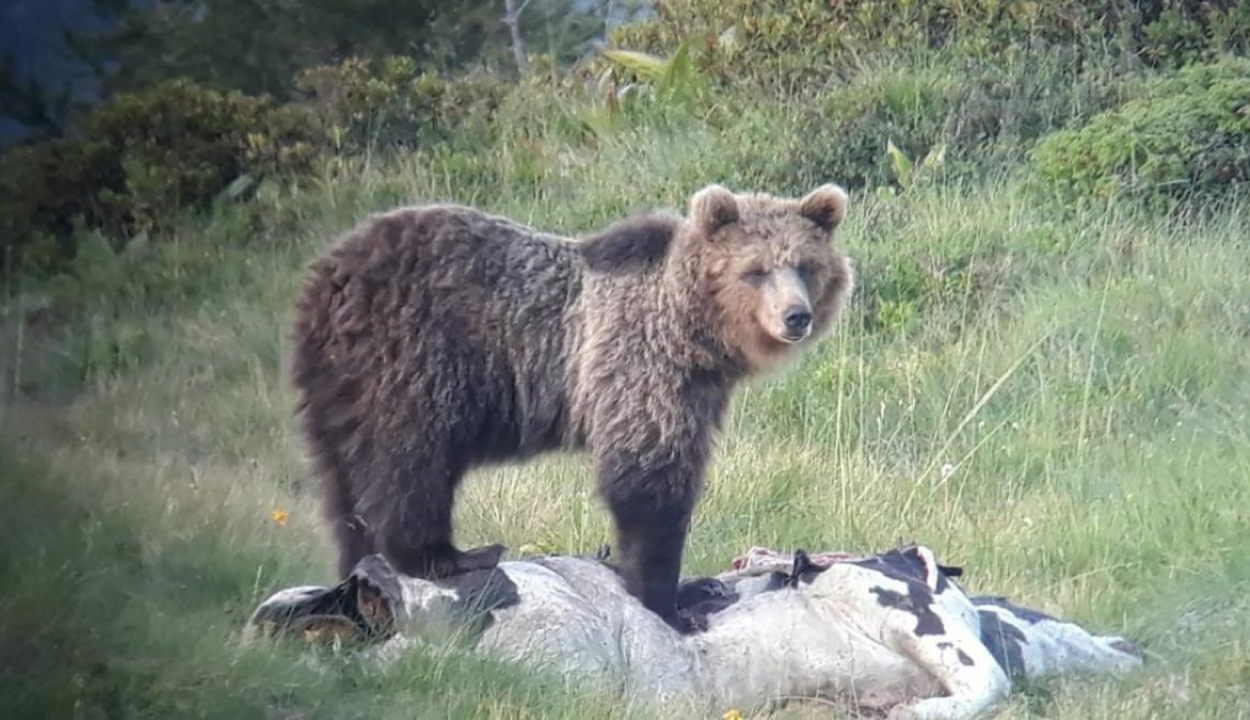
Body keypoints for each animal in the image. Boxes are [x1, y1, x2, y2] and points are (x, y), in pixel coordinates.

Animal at [291, 182, 855, 632]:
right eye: (755, 271)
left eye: (806, 266)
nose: (796, 316)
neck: (694, 332)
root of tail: (329, 276)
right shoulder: (640, 363)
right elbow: (647, 477)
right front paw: (668, 601)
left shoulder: (699, 388)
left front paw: (689, 589)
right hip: (414, 357)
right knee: (411, 458)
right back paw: (448, 556)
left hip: (337, 386)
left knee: (343, 481)